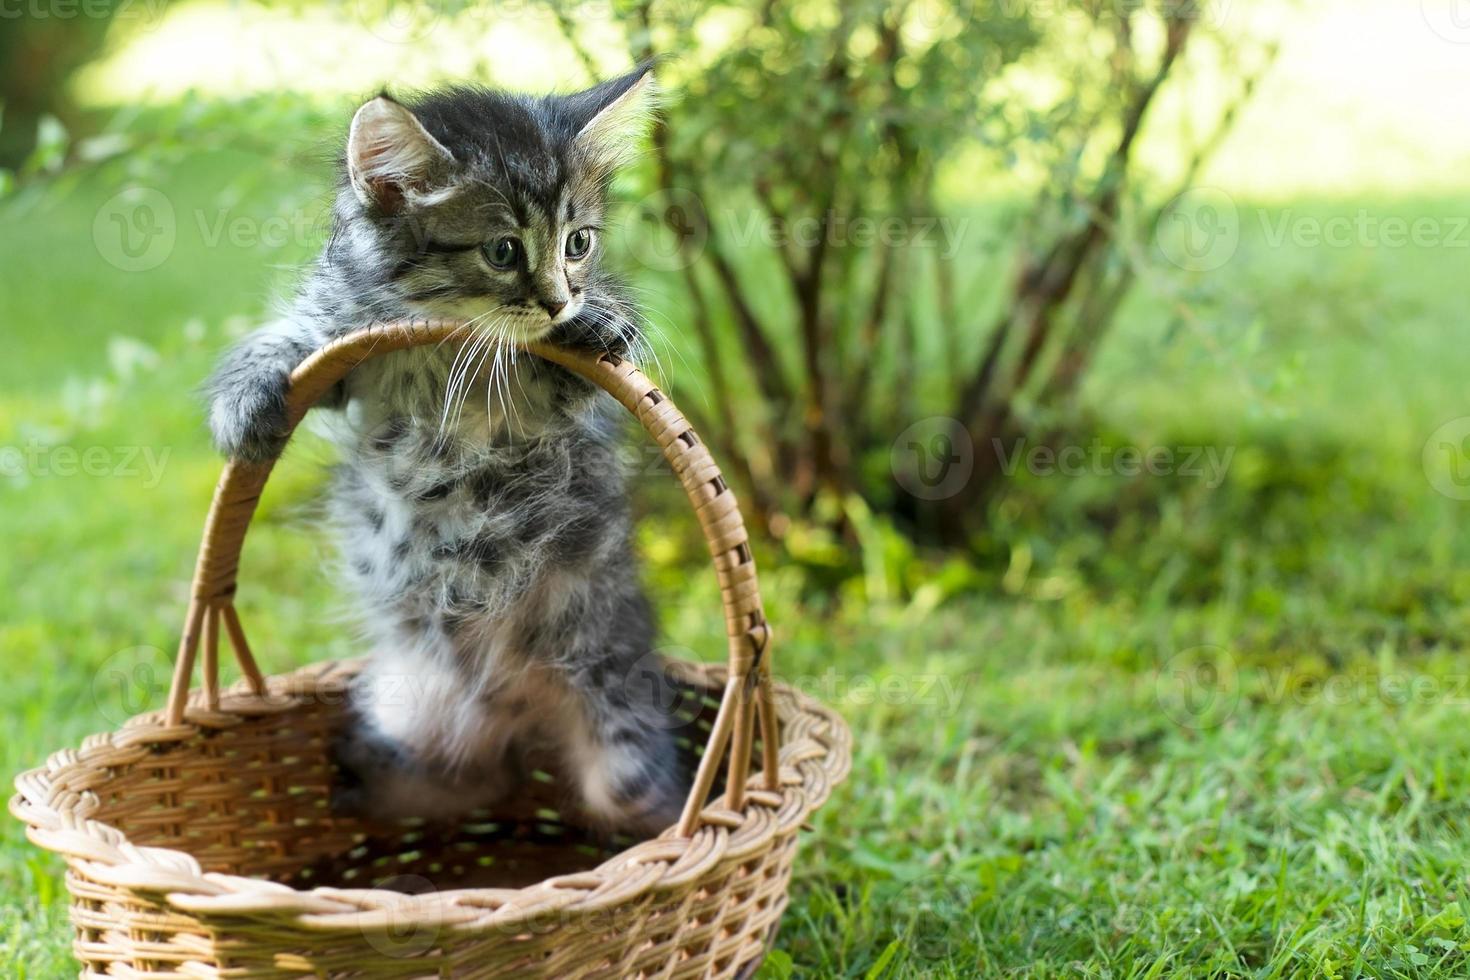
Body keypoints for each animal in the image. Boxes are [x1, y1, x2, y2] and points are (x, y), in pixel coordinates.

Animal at [207, 67, 687, 834]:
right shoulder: (339, 340)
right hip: (403, 710)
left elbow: (601, 345)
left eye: (578, 242)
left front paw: (598, 323)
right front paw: (245, 406)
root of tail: (514, 711)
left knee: (626, 796)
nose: (558, 302)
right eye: (503, 250)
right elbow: (285, 341)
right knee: (467, 780)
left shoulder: (562, 401)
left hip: (621, 738)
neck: (441, 347)